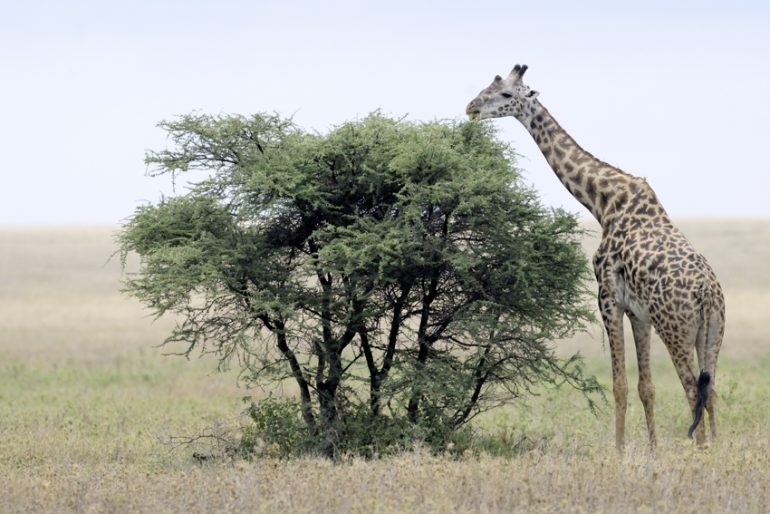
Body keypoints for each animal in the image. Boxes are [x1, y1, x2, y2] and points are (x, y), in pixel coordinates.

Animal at [464, 65, 724, 448]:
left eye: (507, 94)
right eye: (487, 86)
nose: (471, 107)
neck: (603, 201)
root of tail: (706, 291)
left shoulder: (608, 297)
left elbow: (619, 385)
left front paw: (619, 450)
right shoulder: (639, 313)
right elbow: (646, 387)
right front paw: (653, 450)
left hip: (675, 327)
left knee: (693, 389)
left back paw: (700, 449)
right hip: (712, 330)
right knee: (712, 389)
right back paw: (715, 449)